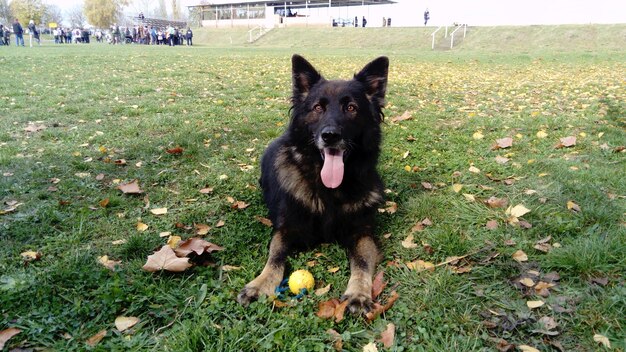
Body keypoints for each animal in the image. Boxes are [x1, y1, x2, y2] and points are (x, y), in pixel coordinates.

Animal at [236, 55, 388, 314]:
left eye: (351, 108)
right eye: (318, 108)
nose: (330, 136)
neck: (329, 191)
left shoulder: (362, 233)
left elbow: (362, 263)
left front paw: (358, 293)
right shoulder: (286, 229)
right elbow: (274, 258)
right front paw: (260, 284)